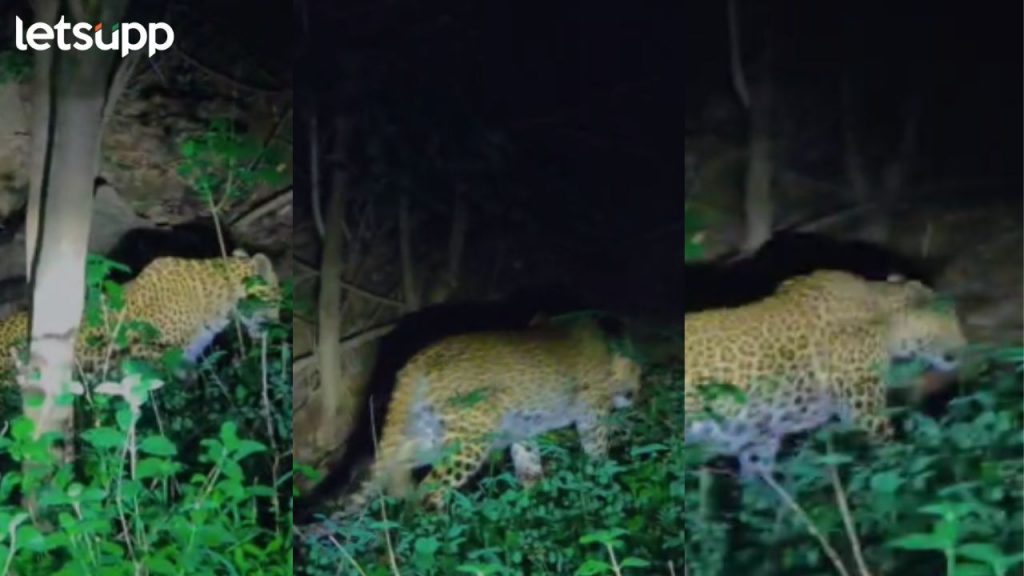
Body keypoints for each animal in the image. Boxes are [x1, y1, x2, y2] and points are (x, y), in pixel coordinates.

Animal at [323, 313, 643, 521]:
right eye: (639, 372)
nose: (638, 392)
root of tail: (416, 363)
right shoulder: (593, 414)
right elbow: (597, 451)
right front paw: (604, 483)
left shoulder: (521, 430)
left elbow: (529, 464)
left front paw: (534, 502)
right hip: (469, 441)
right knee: (431, 488)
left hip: (433, 433)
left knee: (398, 462)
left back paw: (402, 501)